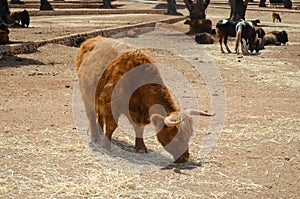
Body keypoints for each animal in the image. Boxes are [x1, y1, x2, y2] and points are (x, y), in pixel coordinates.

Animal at [77, 36, 213, 162]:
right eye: (177, 136)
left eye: (189, 136)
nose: (185, 158)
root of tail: (91, 40)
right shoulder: (111, 104)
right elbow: (111, 126)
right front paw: (106, 146)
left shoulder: (138, 112)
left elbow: (139, 129)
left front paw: (141, 147)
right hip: (87, 95)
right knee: (91, 115)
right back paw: (95, 137)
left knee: (99, 115)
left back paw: (100, 132)